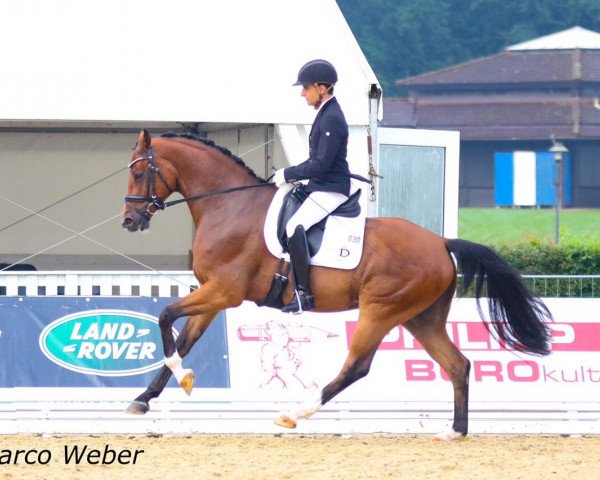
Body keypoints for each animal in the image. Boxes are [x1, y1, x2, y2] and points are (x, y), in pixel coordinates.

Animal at [122, 129, 552, 440]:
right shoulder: (212, 293)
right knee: (458, 364)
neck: (228, 206)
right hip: (421, 318)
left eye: (139, 172)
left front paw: (177, 380)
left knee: (357, 366)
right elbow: (184, 339)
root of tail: (441, 242)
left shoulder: (225, 292)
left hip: (380, 309)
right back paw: (455, 431)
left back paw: (295, 413)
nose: (129, 221)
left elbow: (165, 316)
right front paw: (145, 399)